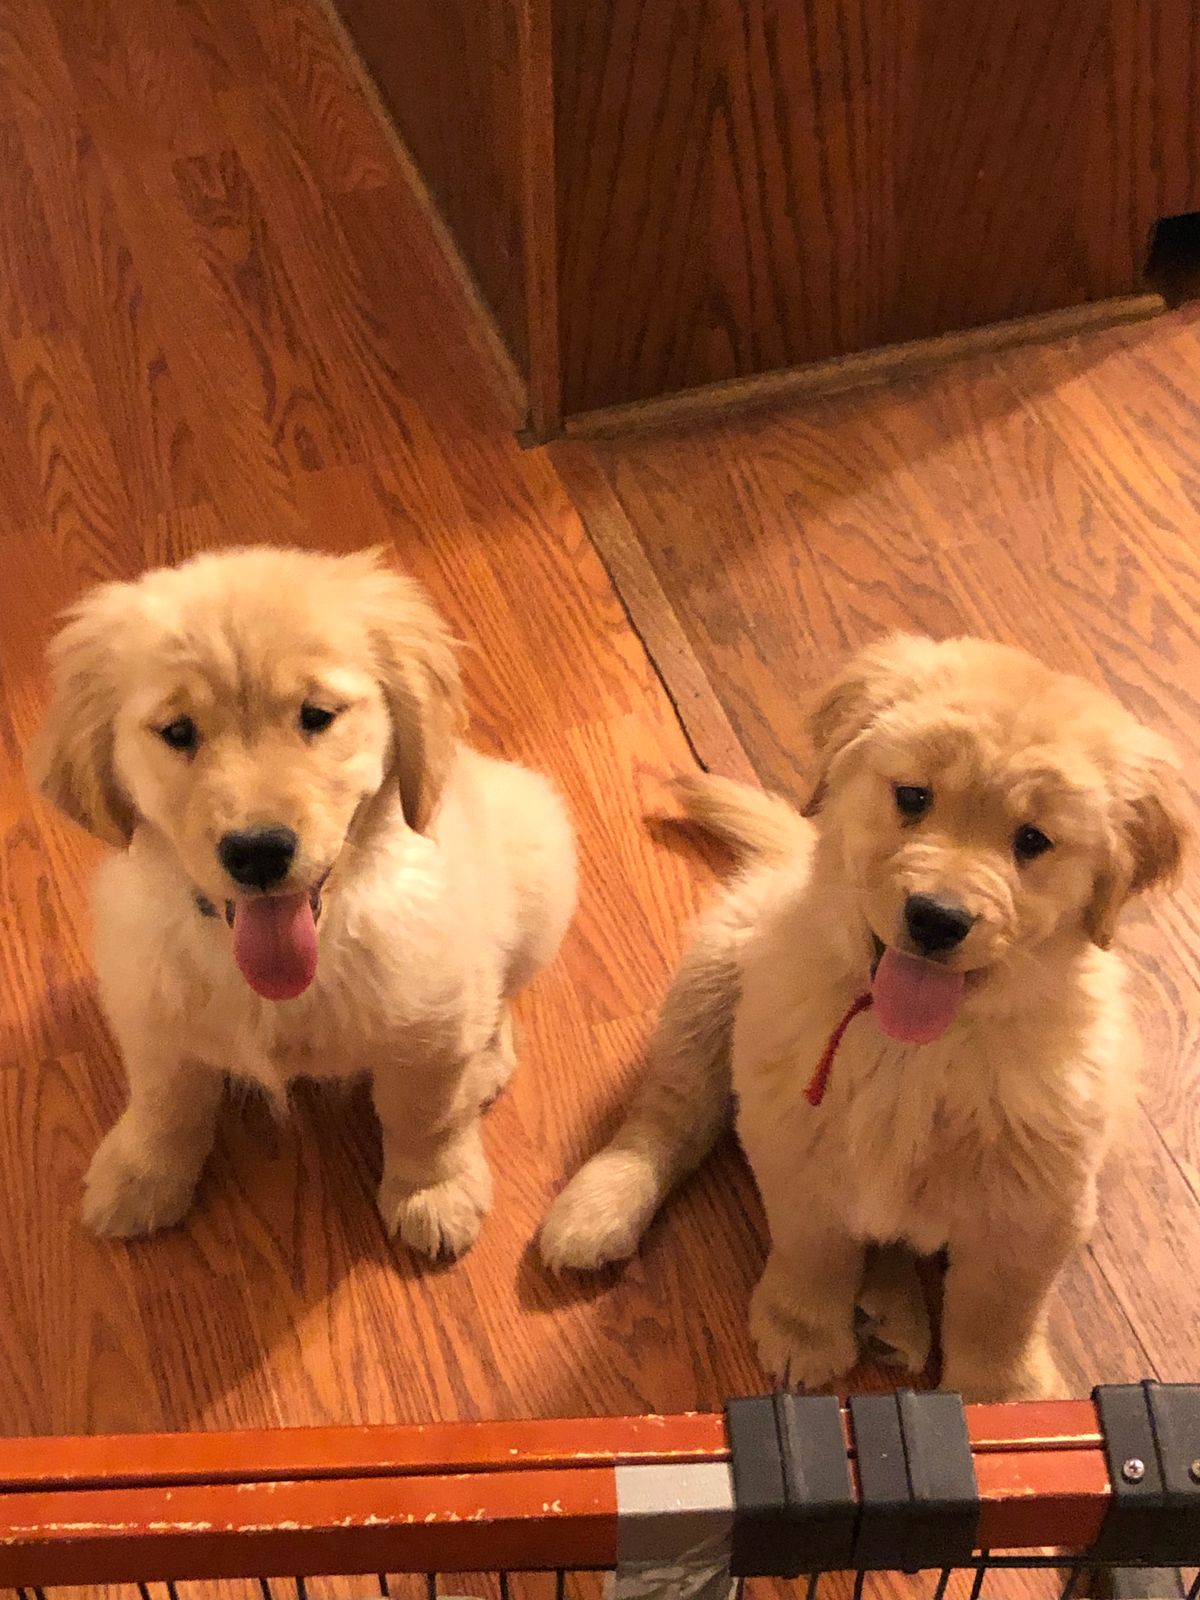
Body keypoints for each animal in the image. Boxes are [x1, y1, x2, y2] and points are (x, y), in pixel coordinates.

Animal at [31, 545, 576, 1258]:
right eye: (177, 731)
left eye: (316, 716)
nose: (258, 851)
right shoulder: (150, 1014)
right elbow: (164, 1105)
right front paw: (139, 1178)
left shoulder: (430, 1024)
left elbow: (426, 1117)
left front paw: (432, 1192)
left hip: (540, 865)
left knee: (501, 997)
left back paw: (485, 1061)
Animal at [540, 635, 1186, 1400]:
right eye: (912, 797)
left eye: (1032, 841)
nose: (937, 918)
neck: (917, 1048)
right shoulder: (796, 1143)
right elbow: (813, 1250)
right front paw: (803, 1331)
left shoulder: (1033, 1211)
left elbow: (1000, 1311)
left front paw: (1006, 1396)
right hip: (713, 980)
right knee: (670, 1113)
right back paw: (600, 1205)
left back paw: (892, 1310)